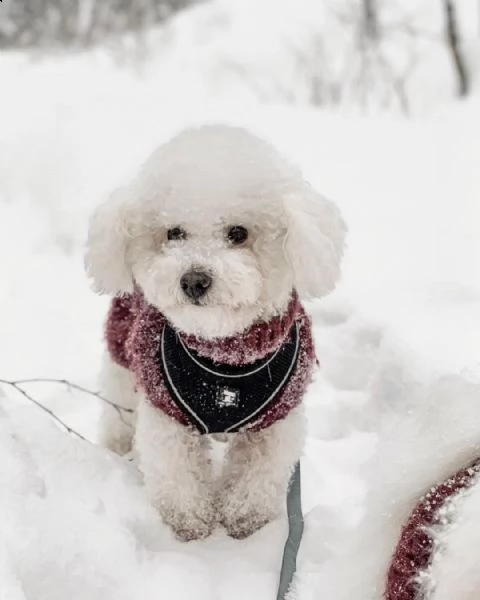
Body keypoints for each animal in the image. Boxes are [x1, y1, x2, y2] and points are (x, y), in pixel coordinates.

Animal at [86, 124, 346, 540]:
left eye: (238, 233)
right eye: (174, 232)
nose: (194, 280)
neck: (225, 357)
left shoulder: (276, 421)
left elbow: (257, 478)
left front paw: (243, 524)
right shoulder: (167, 410)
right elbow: (178, 475)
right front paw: (192, 526)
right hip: (122, 356)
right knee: (119, 412)